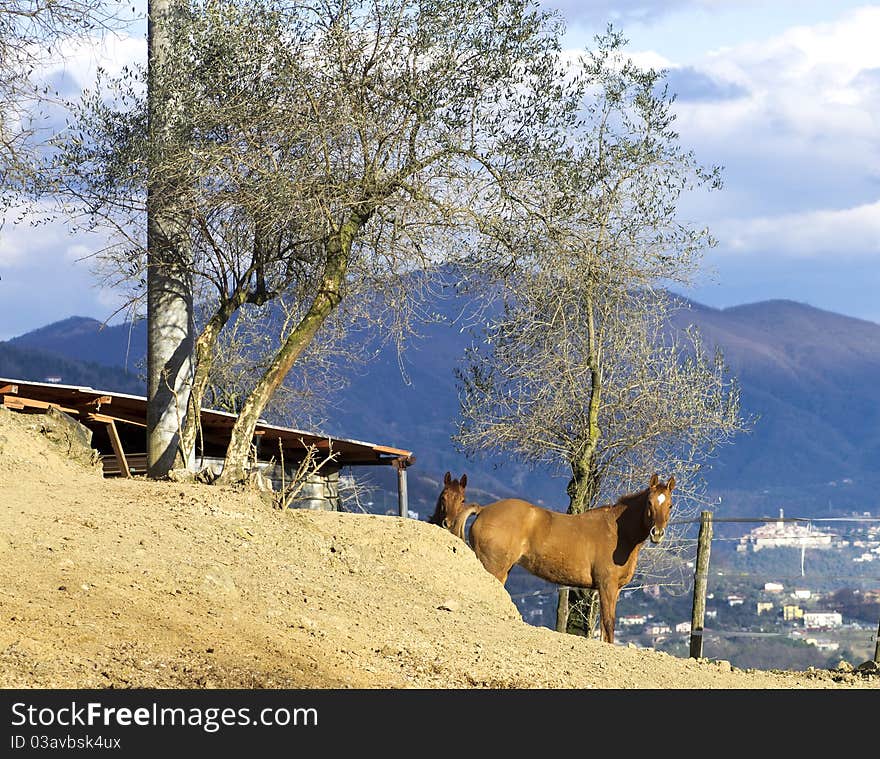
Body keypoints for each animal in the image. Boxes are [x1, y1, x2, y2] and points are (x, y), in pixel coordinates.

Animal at [450, 476, 676, 640]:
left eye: (670, 505)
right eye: (649, 502)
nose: (657, 533)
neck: (617, 532)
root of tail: (484, 510)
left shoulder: (614, 589)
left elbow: (604, 629)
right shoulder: (607, 586)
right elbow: (609, 624)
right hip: (493, 568)